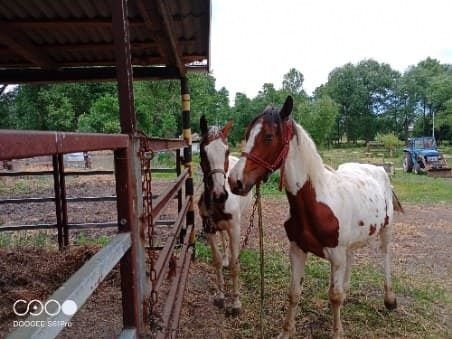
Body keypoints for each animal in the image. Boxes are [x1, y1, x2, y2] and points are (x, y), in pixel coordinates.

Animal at [199, 115, 252, 314]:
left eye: (227, 151)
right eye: (202, 152)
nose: (220, 194)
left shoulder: (234, 228)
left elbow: (236, 267)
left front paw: (236, 303)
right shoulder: (208, 228)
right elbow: (216, 261)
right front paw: (221, 295)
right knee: (223, 239)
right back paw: (226, 258)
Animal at [230, 96, 402, 339]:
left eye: (268, 136)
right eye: (246, 134)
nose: (235, 181)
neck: (316, 202)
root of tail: (379, 169)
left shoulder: (336, 257)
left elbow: (334, 297)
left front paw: (337, 333)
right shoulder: (297, 250)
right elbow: (294, 292)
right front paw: (286, 331)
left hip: (386, 230)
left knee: (386, 256)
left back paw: (389, 299)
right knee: (352, 260)